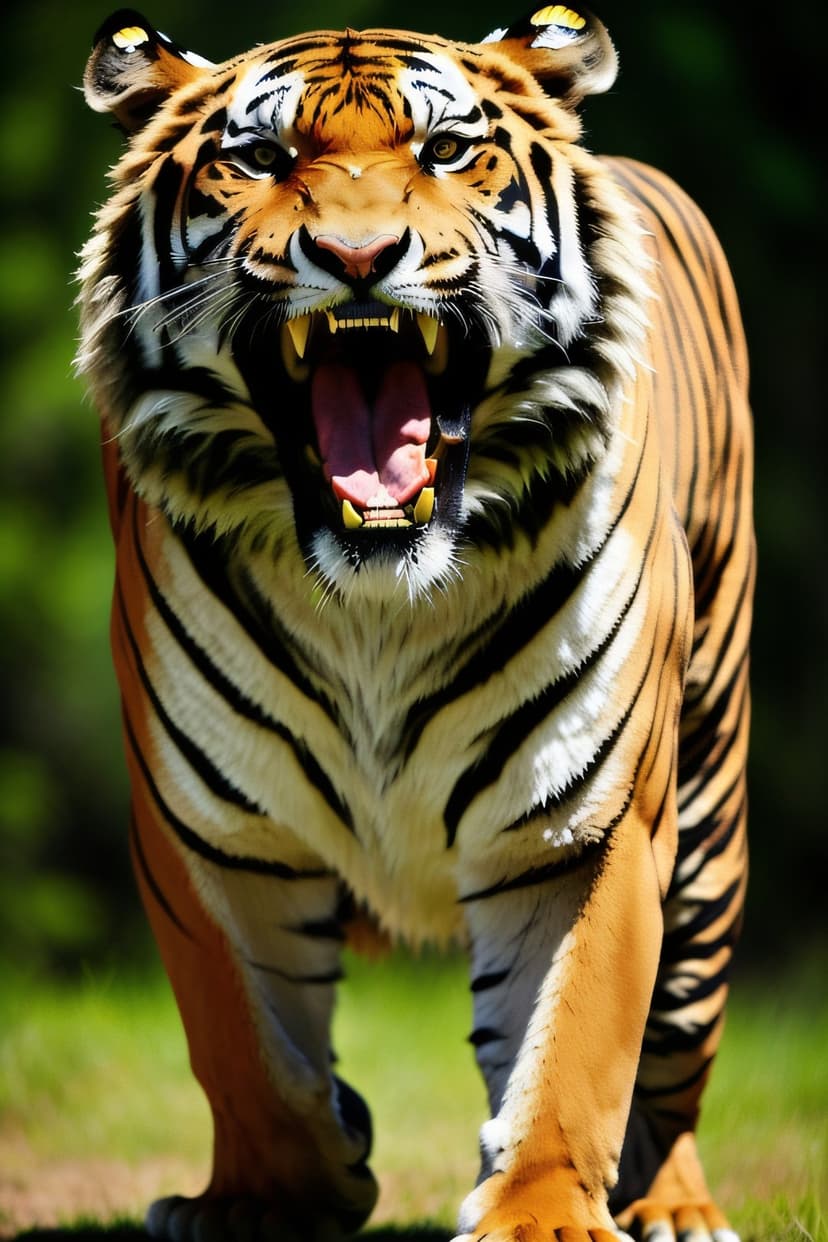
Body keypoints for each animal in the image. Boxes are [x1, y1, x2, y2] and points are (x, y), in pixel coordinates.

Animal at [78, 4, 753, 1241]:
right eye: (261, 158)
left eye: (445, 152)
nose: (355, 260)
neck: (377, 603)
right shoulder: (210, 831)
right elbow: (244, 1045)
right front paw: (273, 1192)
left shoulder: (587, 828)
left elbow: (576, 1041)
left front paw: (540, 1213)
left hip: (709, 801)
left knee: (676, 1046)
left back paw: (675, 1205)